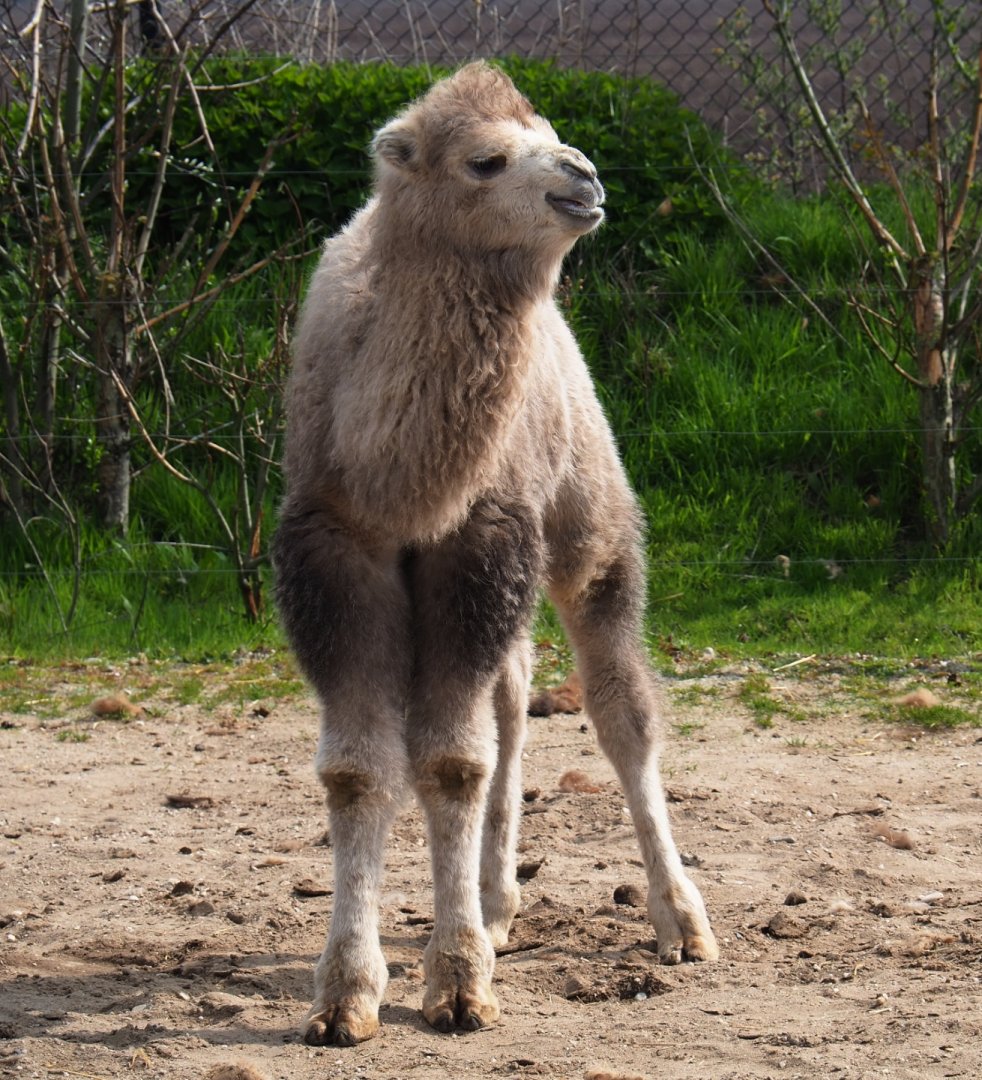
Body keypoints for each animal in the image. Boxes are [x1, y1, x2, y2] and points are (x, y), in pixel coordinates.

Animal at [273, 61, 718, 1047]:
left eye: (549, 135)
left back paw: (681, 922)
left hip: (585, 510)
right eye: (485, 160)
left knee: (619, 707)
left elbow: (449, 762)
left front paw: (458, 985)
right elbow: (358, 770)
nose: (583, 176)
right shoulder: (337, 551)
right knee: (512, 700)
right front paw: (344, 996)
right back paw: (497, 900)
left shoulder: (478, 542)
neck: (403, 482)